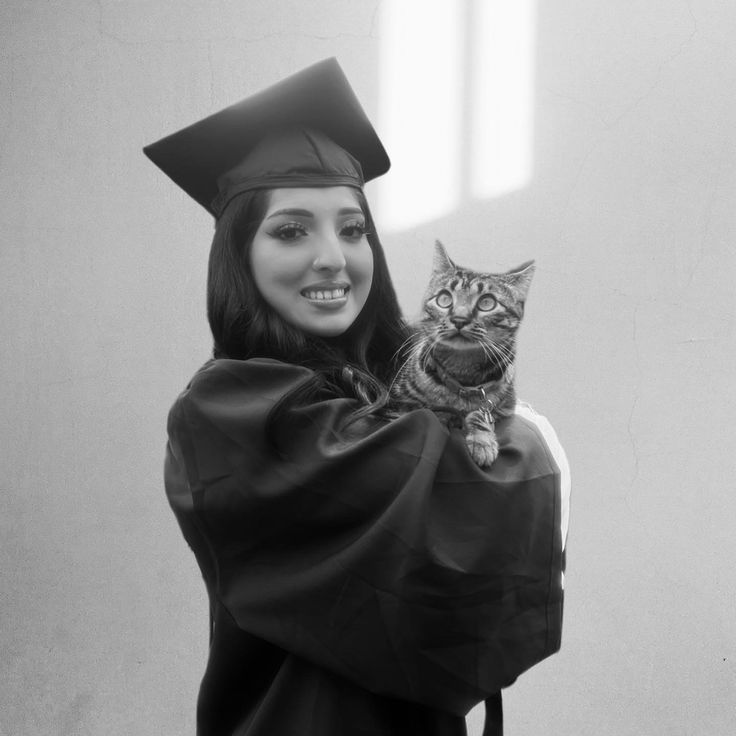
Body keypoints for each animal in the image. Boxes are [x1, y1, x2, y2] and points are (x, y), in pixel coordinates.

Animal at [392, 244, 536, 468]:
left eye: (487, 302)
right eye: (444, 298)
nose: (459, 319)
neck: (462, 373)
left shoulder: (502, 409)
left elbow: (479, 413)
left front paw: (481, 439)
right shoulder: (401, 403)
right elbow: (429, 412)